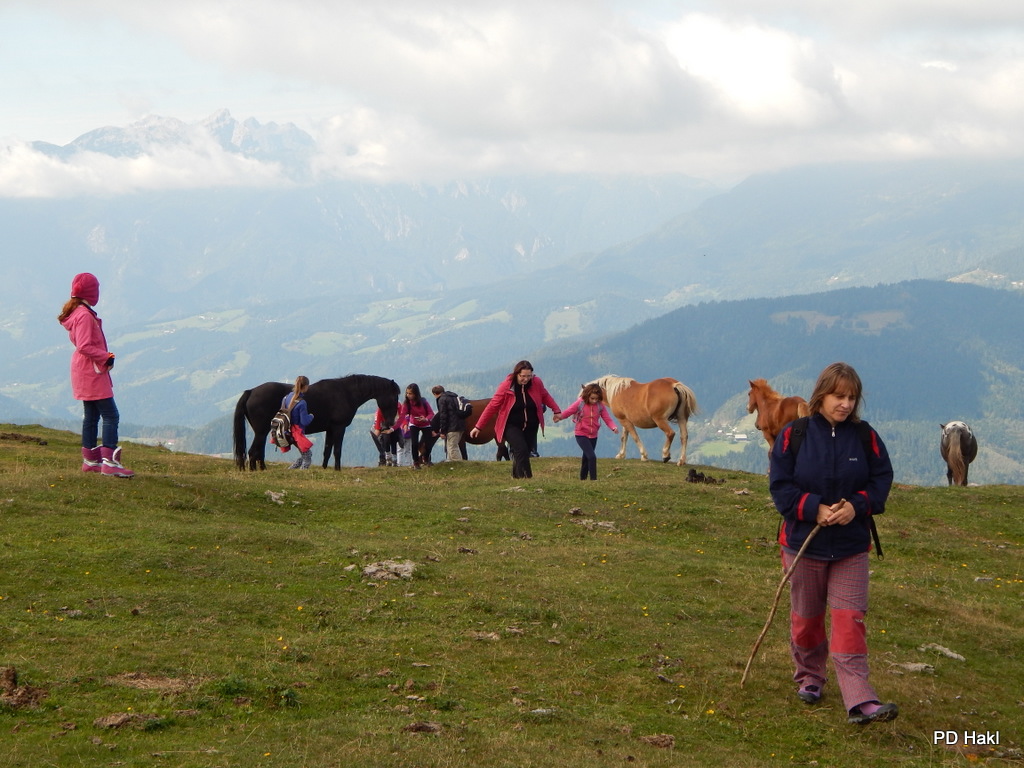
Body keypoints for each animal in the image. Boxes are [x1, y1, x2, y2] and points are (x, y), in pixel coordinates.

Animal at [233, 374, 400, 471]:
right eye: (394, 397)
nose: (389, 423)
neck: (346, 393)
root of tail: (251, 391)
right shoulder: (339, 428)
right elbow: (337, 450)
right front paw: (337, 470)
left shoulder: (330, 429)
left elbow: (327, 450)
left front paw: (325, 468)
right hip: (261, 432)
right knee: (252, 452)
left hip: (263, 432)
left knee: (258, 451)